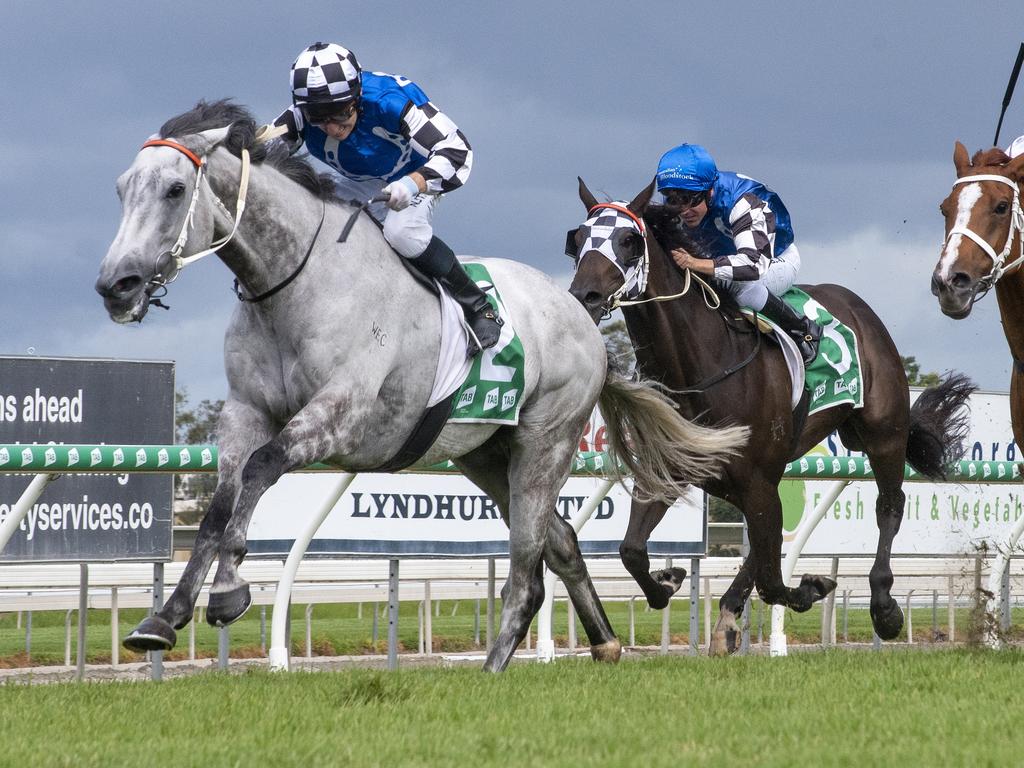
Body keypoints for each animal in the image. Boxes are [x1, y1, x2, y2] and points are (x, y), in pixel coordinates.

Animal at [96, 99, 749, 671]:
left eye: (175, 189)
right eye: (122, 188)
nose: (115, 285)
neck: (294, 285)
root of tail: (583, 319)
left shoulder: (341, 416)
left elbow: (260, 470)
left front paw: (230, 589)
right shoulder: (244, 411)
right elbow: (219, 504)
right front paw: (164, 616)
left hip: (546, 441)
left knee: (526, 569)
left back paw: (494, 667)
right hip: (483, 451)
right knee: (560, 539)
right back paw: (604, 644)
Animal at [569, 180, 974, 655]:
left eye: (628, 241)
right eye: (577, 238)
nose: (585, 297)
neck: (702, 365)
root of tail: (858, 306)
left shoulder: (757, 478)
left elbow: (774, 581)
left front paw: (812, 588)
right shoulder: (677, 468)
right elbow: (632, 550)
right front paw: (669, 579)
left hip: (883, 433)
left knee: (888, 506)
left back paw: (884, 608)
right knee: (764, 549)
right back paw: (727, 617)